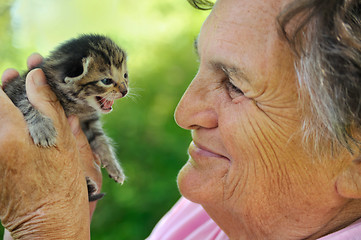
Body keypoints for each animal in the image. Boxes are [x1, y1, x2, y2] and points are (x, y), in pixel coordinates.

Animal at [3, 33, 128, 202]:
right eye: (106, 81)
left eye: (125, 76)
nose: (125, 90)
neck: (77, 106)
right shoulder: (17, 90)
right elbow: (25, 103)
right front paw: (43, 128)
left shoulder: (89, 122)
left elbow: (101, 140)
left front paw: (114, 167)